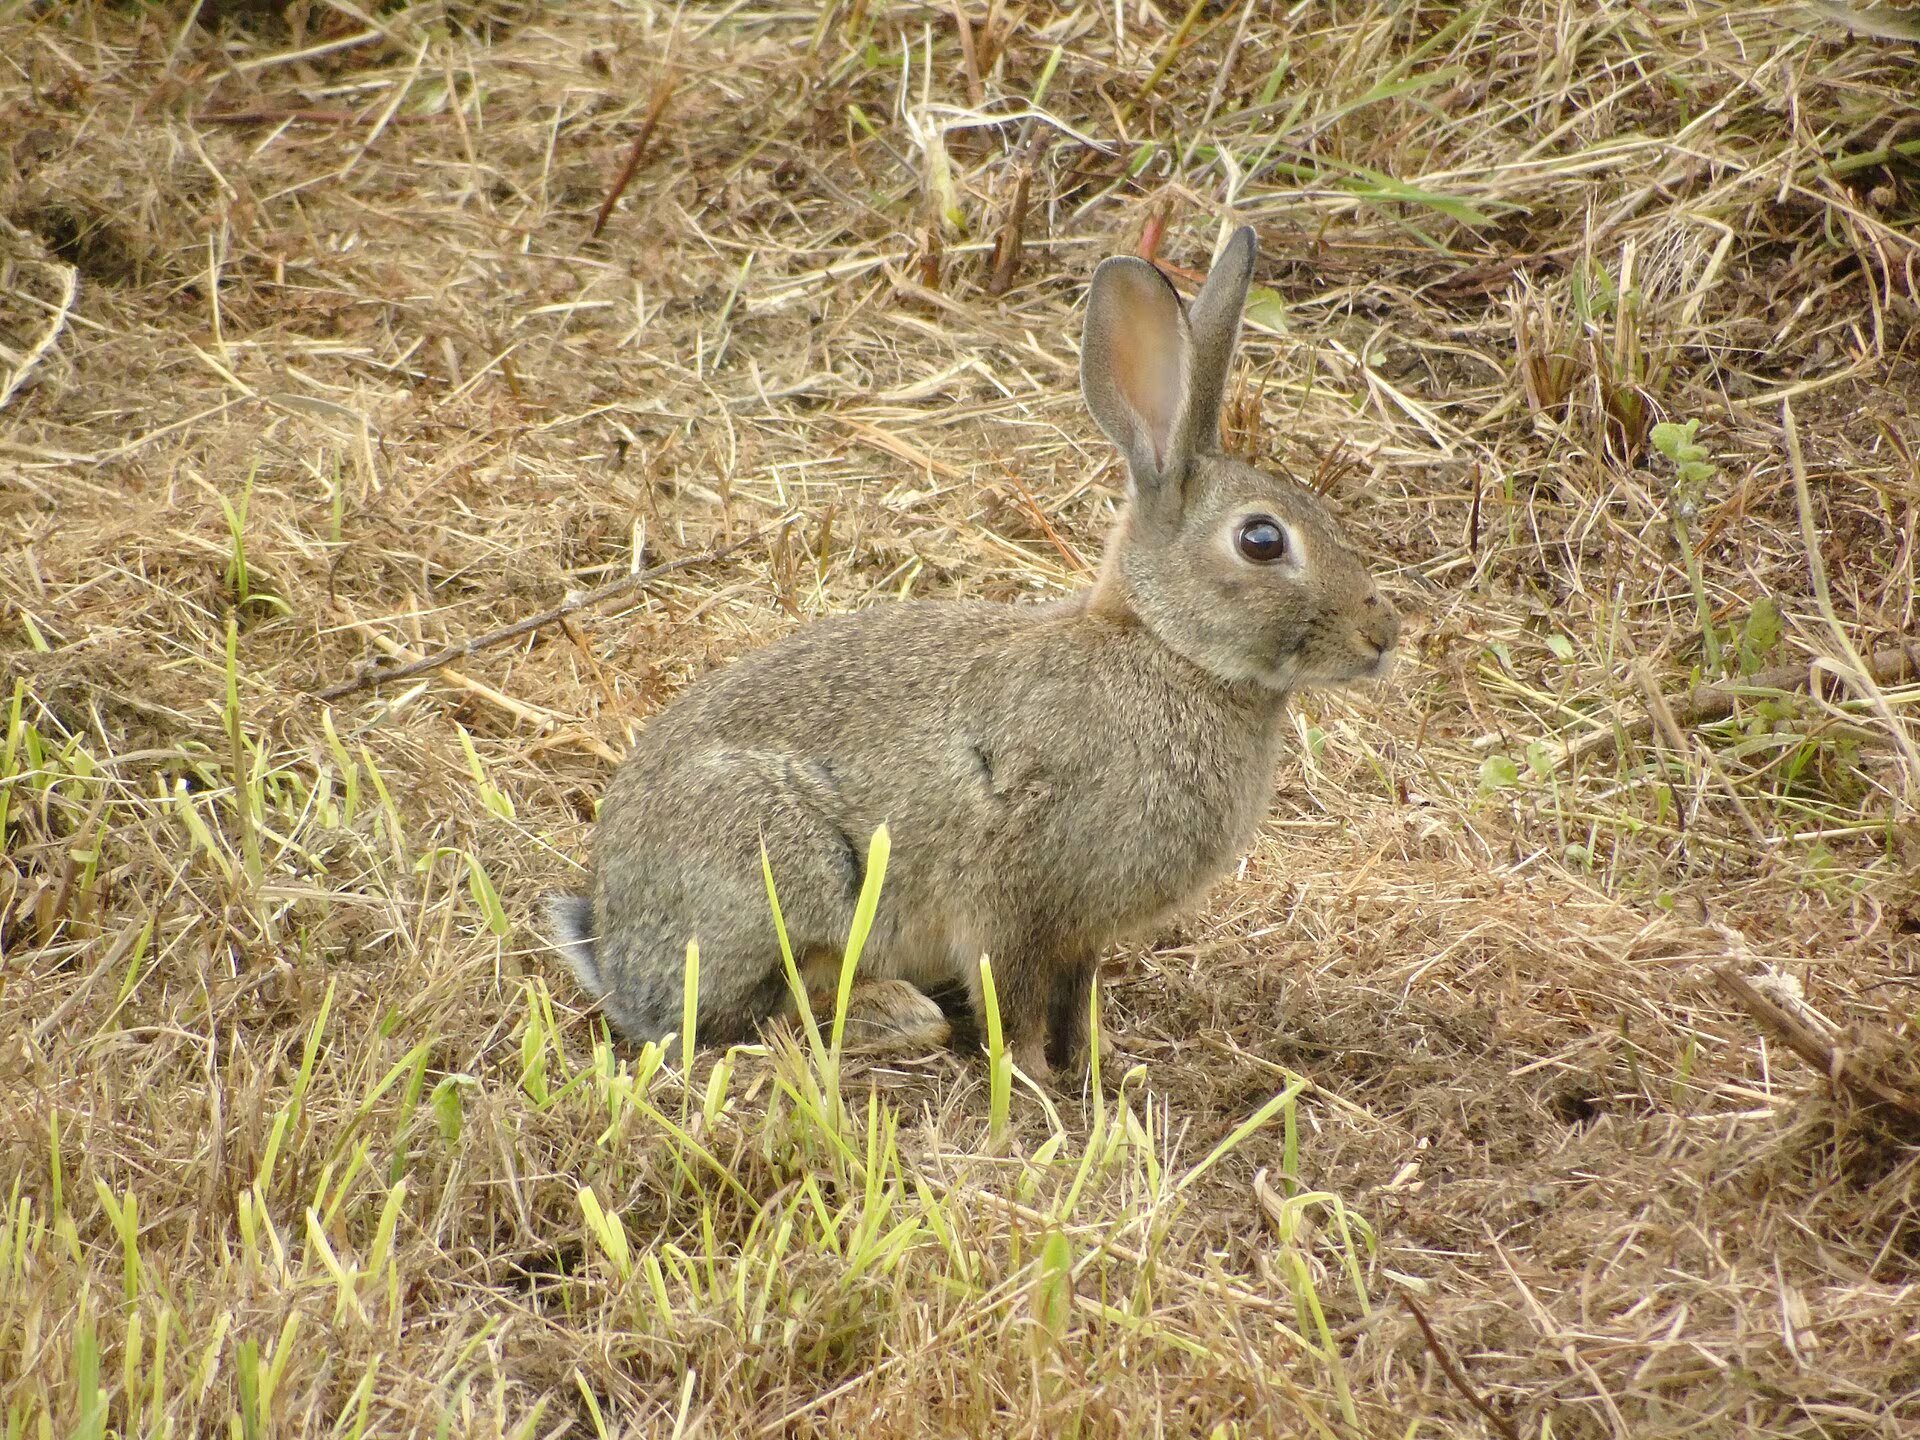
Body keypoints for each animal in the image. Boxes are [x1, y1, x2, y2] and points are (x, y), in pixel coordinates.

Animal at [545, 226, 1400, 1082]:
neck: (1168, 651)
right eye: (1262, 540)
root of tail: (617, 956)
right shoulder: (1015, 891)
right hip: (782, 865)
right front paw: (1033, 1078)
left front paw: (1101, 1068)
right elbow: (1013, 993)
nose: (1383, 636)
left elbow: (1080, 995)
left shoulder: (1081, 933)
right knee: (757, 1012)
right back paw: (897, 1014)